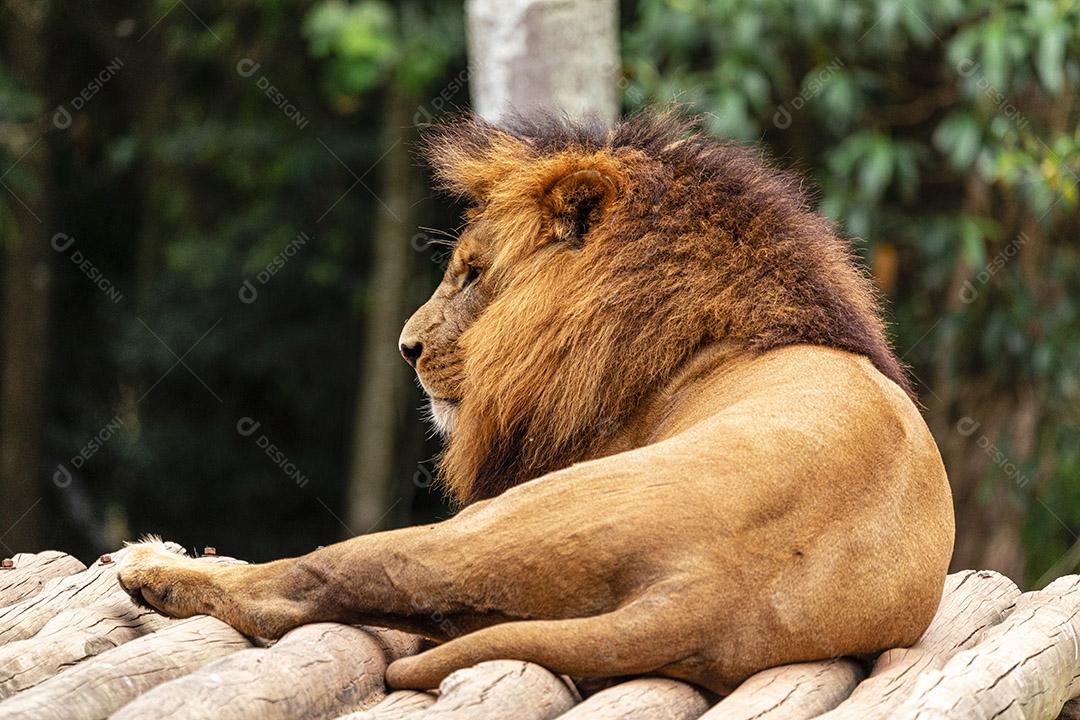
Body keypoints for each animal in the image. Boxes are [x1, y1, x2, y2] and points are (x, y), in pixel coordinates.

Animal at [117, 111, 955, 694]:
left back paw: (151, 566)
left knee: (310, 583)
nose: (406, 348)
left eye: (470, 273)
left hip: (501, 519)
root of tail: (712, 590)